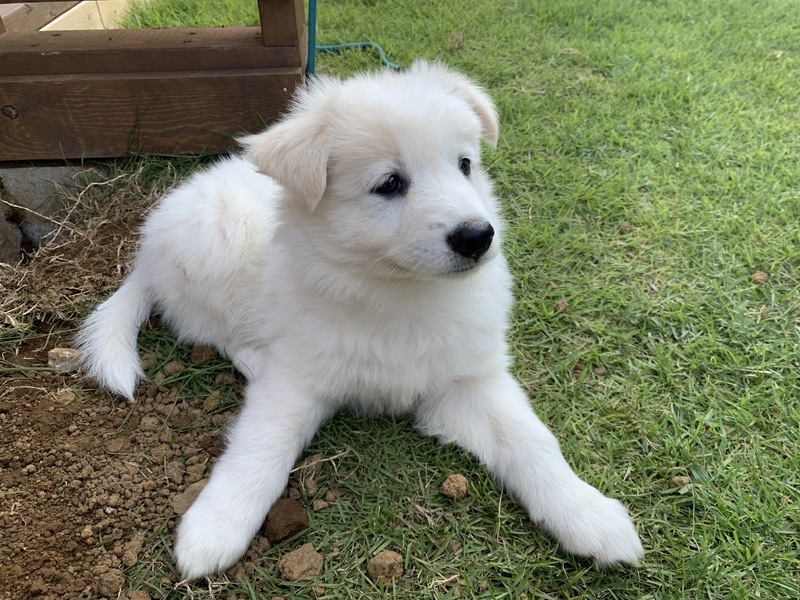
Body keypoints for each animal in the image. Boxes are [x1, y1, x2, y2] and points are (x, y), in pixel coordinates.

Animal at [78, 61, 644, 580]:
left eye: (464, 165)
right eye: (390, 184)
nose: (477, 236)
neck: (399, 294)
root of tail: (149, 251)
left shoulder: (470, 380)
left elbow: (532, 441)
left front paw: (588, 515)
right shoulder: (297, 380)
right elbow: (260, 450)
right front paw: (214, 529)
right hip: (218, 243)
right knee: (215, 331)